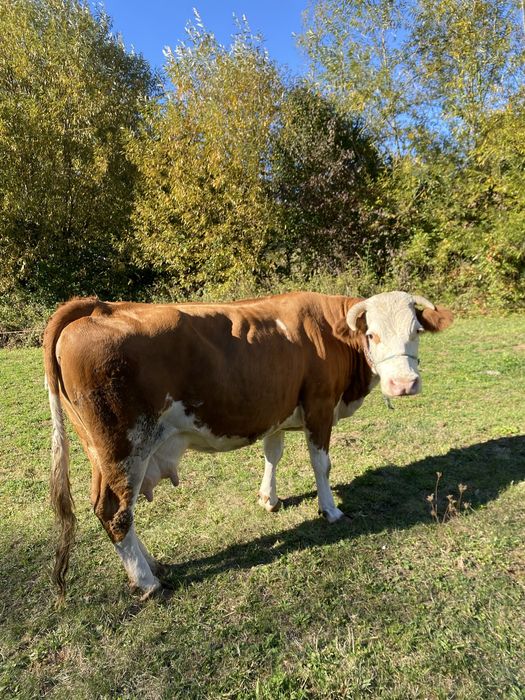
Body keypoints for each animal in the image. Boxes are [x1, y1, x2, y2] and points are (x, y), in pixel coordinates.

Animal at [43, 291, 453, 599]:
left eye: (416, 330)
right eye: (372, 335)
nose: (404, 384)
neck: (330, 333)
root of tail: (100, 306)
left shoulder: (277, 407)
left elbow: (273, 454)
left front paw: (268, 498)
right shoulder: (320, 405)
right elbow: (321, 464)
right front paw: (330, 510)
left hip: (101, 454)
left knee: (110, 508)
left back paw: (153, 565)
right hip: (124, 447)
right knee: (116, 512)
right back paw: (147, 583)